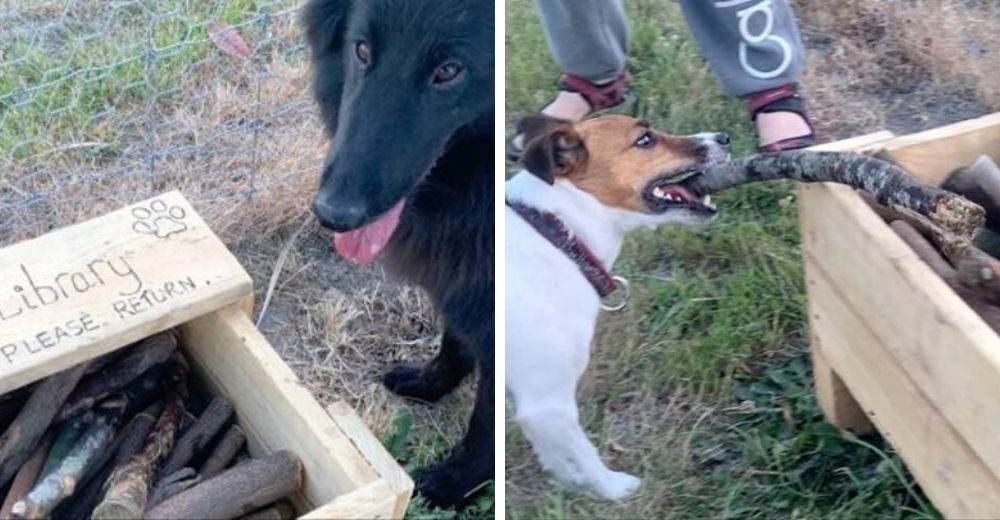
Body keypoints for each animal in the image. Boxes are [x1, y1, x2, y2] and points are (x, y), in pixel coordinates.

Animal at [302, 0, 494, 508]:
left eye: (449, 71)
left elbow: (486, 418)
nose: (334, 214)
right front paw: (433, 382)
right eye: (362, 49)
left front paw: (459, 482)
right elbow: (455, 337)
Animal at [508, 114, 728, 500]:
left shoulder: (535, 409)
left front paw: (571, 485)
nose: (724, 138)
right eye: (645, 140)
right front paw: (613, 489)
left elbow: (555, 455)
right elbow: (584, 451)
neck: (559, 234)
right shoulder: (547, 402)